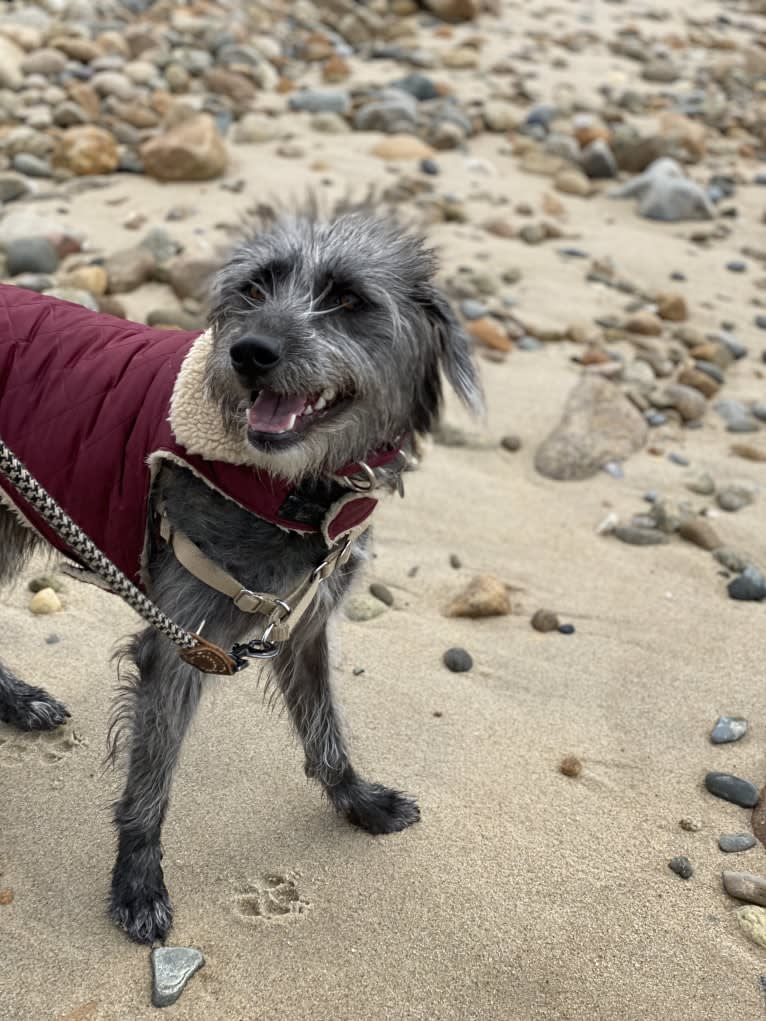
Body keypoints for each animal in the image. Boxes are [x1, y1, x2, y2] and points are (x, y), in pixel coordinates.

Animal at [0, 203, 480, 943]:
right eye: (254, 289)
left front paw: (357, 800)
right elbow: (150, 784)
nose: (249, 353)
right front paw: (137, 881)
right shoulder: (182, 645)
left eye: (349, 300)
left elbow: (324, 728)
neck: (296, 490)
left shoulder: (302, 625)